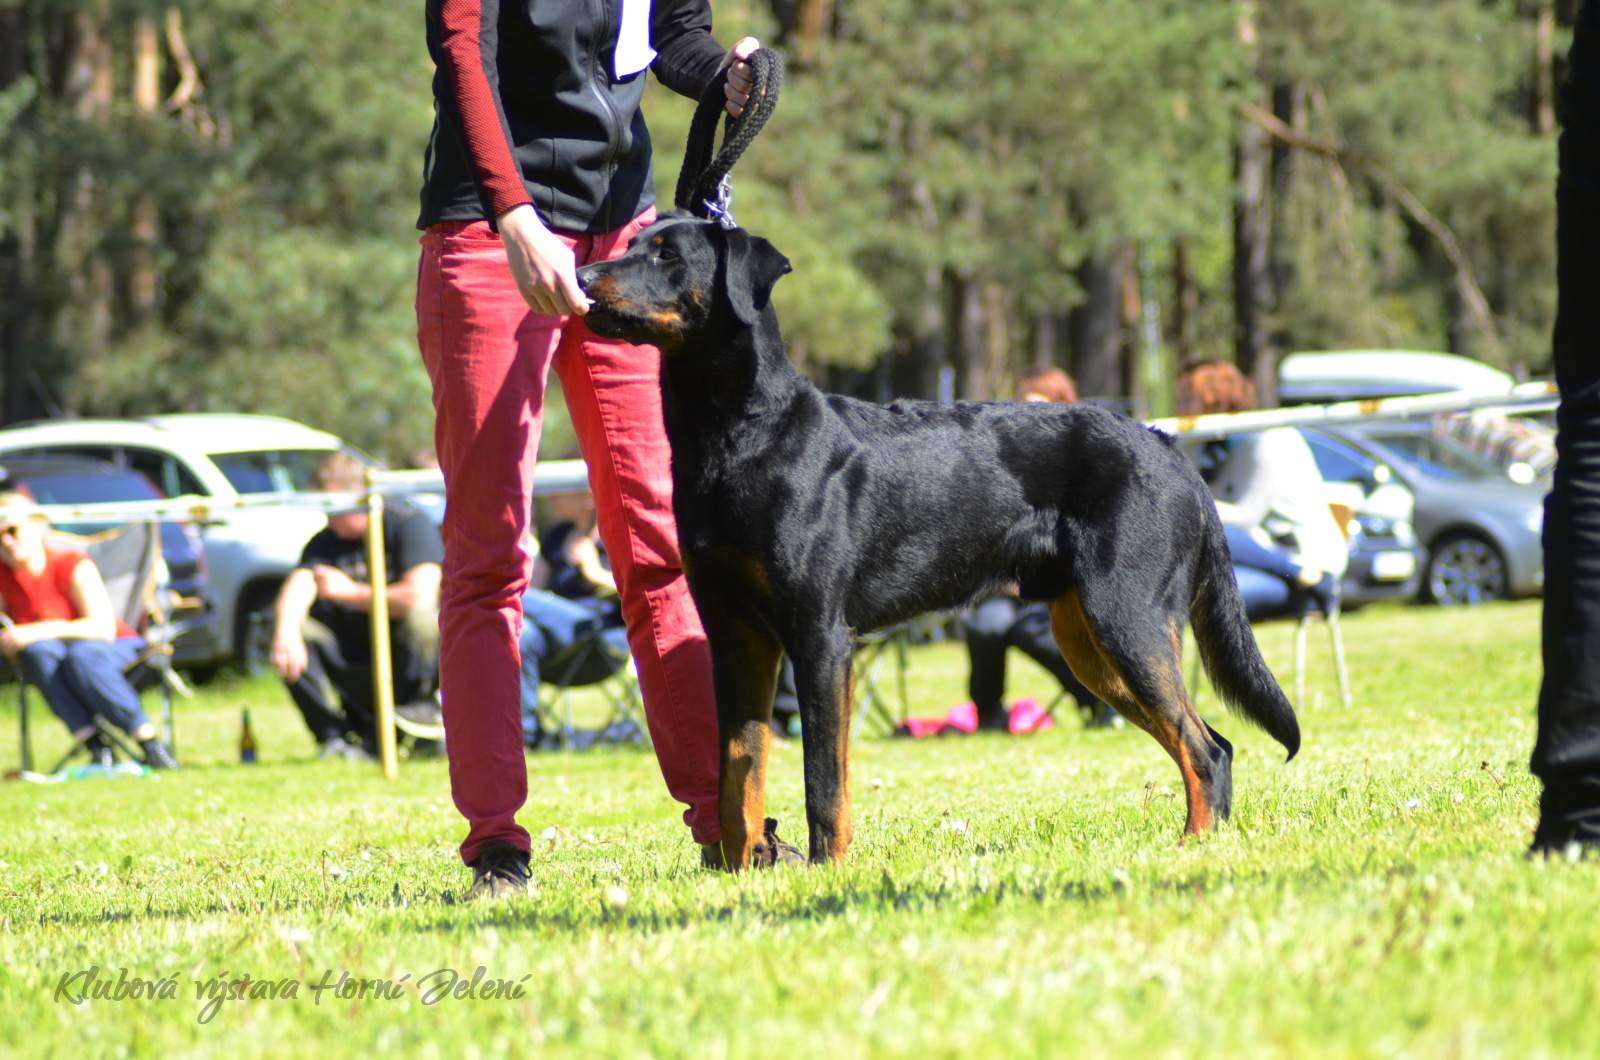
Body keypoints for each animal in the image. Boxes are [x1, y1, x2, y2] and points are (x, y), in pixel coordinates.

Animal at [576, 217, 1299, 871]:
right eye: (630, 244)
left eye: (668, 254)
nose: (582, 276)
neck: (738, 435)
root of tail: (1167, 445)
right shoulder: (736, 637)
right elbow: (739, 767)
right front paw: (738, 872)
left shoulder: (820, 638)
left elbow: (823, 780)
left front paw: (826, 870)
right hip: (1091, 646)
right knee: (1213, 743)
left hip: (1128, 619)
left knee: (1203, 748)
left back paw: (1194, 847)